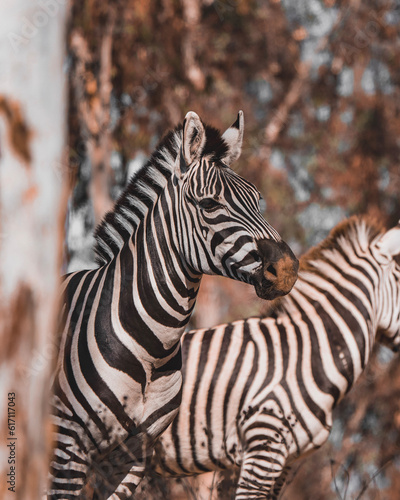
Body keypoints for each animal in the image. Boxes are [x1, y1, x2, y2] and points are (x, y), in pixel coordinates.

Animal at [48, 111, 298, 498]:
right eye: (209, 204)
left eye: (258, 201)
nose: (286, 269)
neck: (152, 348)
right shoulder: (68, 444)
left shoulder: (134, 455)